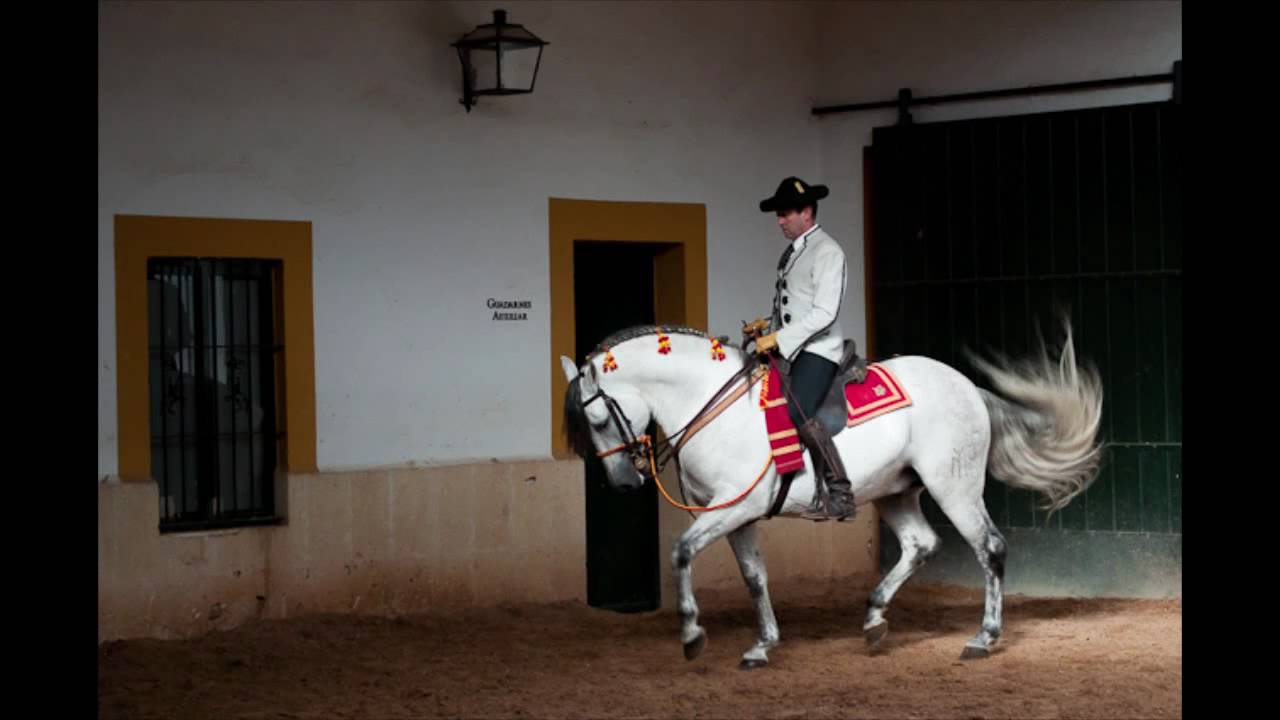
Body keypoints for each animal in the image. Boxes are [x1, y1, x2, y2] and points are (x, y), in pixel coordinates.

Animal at [559, 318, 1103, 669]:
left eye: (598, 417)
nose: (624, 483)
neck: (711, 405)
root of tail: (967, 386)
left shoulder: (732, 507)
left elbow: (681, 552)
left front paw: (693, 635)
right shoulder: (739, 517)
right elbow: (754, 578)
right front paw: (763, 645)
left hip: (954, 486)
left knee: (989, 548)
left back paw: (983, 639)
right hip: (895, 491)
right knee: (921, 545)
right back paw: (874, 618)